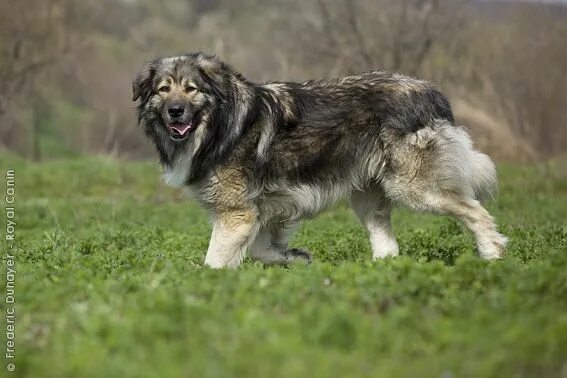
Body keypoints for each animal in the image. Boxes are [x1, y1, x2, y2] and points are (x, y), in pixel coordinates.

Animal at [134, 52, 510, 268]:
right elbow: (260, 250)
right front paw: (296, 257)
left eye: (191, 89)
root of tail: (431, 93)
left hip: (416, 188)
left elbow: (214, 261)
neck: (221, 125)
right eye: (163, 90)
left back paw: (493, 257)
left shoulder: (236, 214)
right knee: (388, 247)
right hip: (368, 199)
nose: (175, 111)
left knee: (476, 212)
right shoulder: (265, 212)